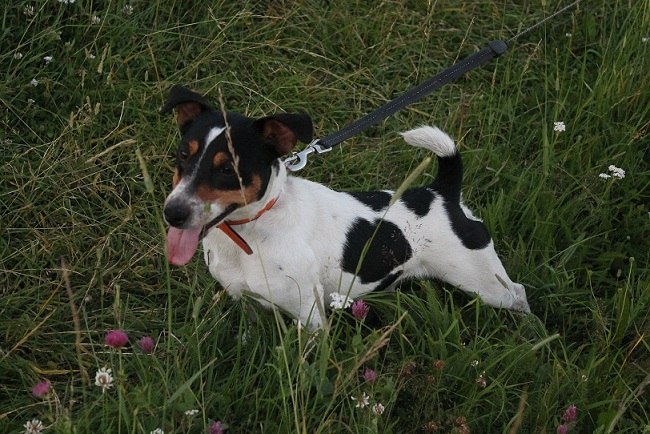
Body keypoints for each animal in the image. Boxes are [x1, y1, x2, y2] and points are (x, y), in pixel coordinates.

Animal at [161, 85, 530, 329]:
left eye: (228, 169)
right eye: (182, 154)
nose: (173, 213)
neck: (252, 232)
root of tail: (442, 193)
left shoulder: (309, 316)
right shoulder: (246, 301)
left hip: (483, 282)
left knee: (517, 293)